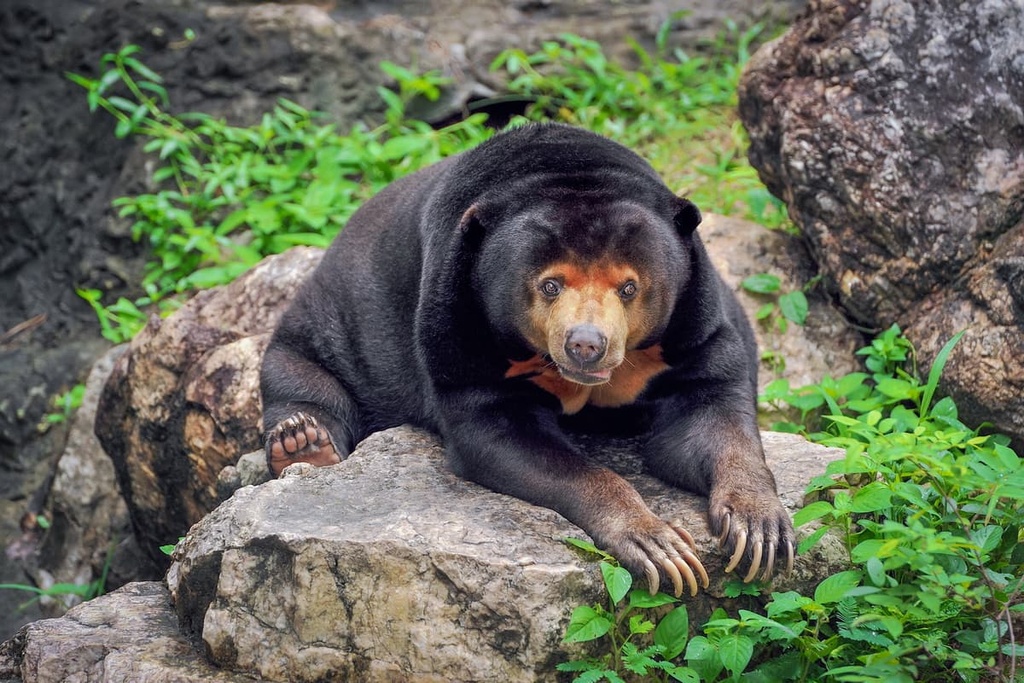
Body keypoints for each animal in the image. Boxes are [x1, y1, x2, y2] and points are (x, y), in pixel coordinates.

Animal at [260, 123, 794, 597]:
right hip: (328, 322)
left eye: (629, 287)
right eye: (550, 284)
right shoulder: (457, 328)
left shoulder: (691, 325)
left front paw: (759, 531)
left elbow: (707, 415)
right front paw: (659, 546)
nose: (586, 344)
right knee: (295, 372)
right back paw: (303, 441)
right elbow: (501, 431)